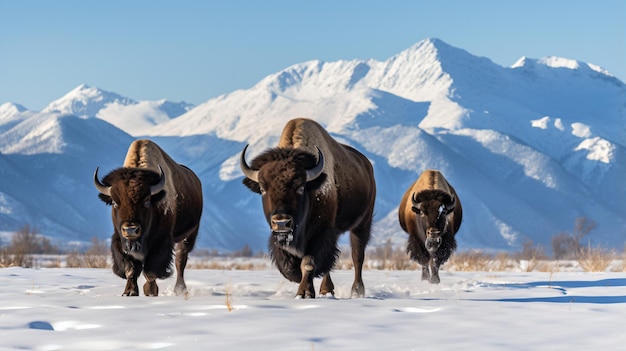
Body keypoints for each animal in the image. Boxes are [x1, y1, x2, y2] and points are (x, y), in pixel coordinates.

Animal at [92, 140, 202, 296]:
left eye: (147, 201)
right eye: (114, 202)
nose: (130, 230)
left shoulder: (161, 241)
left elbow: (150, 270)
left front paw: (150, 291)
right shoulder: (120, 240)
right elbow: (131, 269)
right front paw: (130, 292)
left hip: (190, 234)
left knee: (181, 260)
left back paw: (180, 289)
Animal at [239, 119, 376, 300]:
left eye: (300, 187)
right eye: (262, 189)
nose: (281, 223)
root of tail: (367, 165)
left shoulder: (321, 233)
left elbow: (308, 262)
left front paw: (304, 293)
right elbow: (291, 266)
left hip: (362, 224)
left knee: (357, 255)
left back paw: (357, 291)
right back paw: (326, 290)